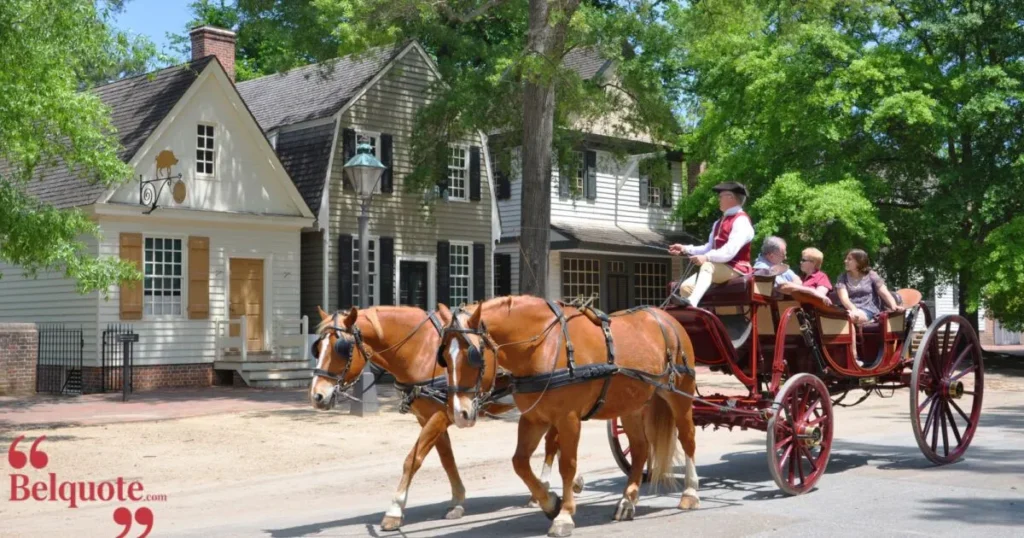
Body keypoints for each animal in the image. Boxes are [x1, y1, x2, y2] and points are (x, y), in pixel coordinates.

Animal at [307, 303, 573, 528]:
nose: (317, 395)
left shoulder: (439, 415)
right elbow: (446, 458)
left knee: (552, 444)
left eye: (341, 348)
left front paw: (395, 509)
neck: (420, 350)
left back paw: (543, 489)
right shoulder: (428, 417)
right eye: (318, 348)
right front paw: (457, 501)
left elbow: (413, 459)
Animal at [436, 297, 700, 536]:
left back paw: (690, 493)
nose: (459, 413)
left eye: (473, 356)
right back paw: (627, 501)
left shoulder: (568, 419)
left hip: (680, 395)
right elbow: (519, 462)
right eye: (445, 357)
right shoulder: (534, 419)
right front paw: (550, 502)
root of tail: (666, 318)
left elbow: (567, 465)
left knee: (687, 439)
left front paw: (564, 515)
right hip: (632, 405)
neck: (544, 345)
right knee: (640, 449)